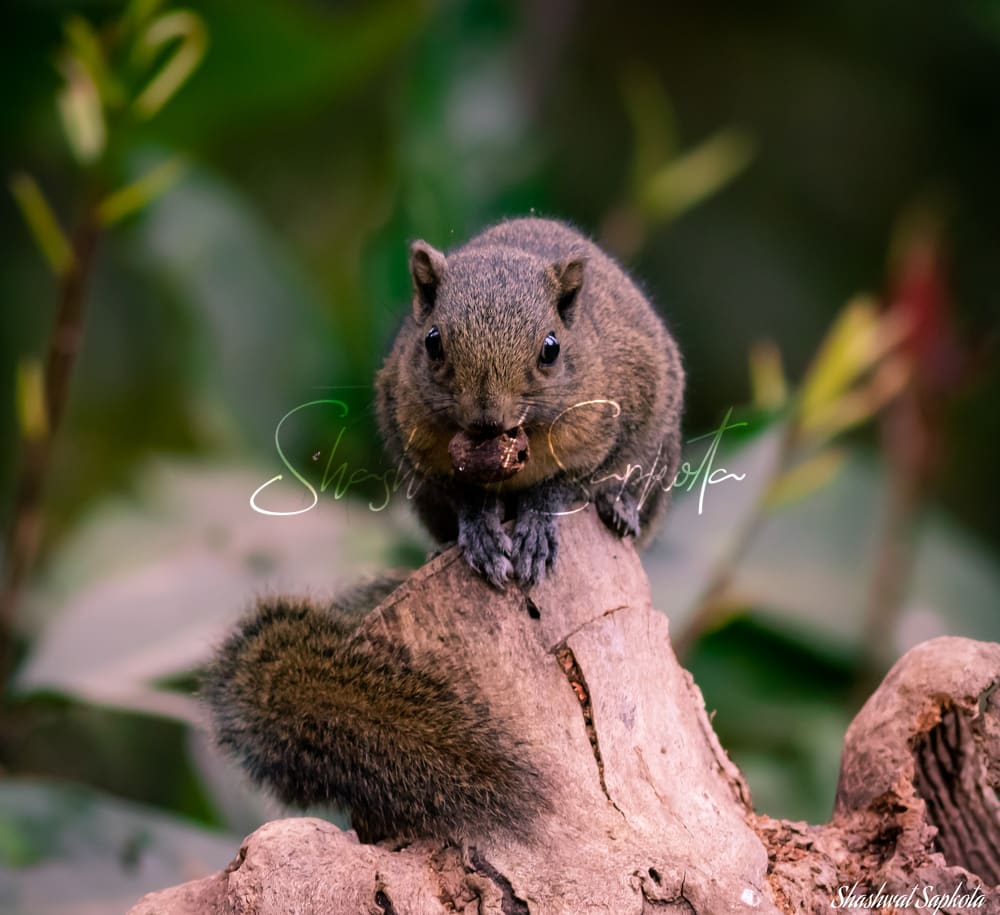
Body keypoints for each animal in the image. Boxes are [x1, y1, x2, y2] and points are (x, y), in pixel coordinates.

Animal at [376, 216, 685, 588]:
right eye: (432, 341)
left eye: (551, 348)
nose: (487, 420)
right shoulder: (417, 445)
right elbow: (464, 495)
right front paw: (482, 532)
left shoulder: (615, 417)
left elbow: (563, 484)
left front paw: (537, 529)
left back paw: (619, 506)